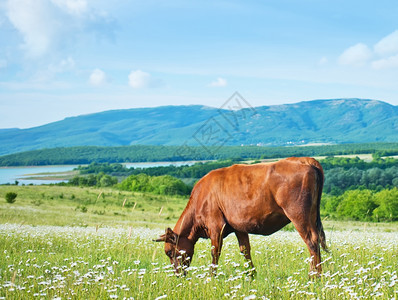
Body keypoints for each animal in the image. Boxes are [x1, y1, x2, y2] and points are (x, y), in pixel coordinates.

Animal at [154, 158, 328, 276]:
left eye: (169, 252)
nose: (178, 275)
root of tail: (305, 160)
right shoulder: (239, 227)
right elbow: (245, 250)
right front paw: (252, 275)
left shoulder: (215, 226)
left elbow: (215, 252)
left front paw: (211, 277)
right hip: (311, 215)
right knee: (317, 240)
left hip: (299, 216)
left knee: (312, 241)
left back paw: (315, 276)